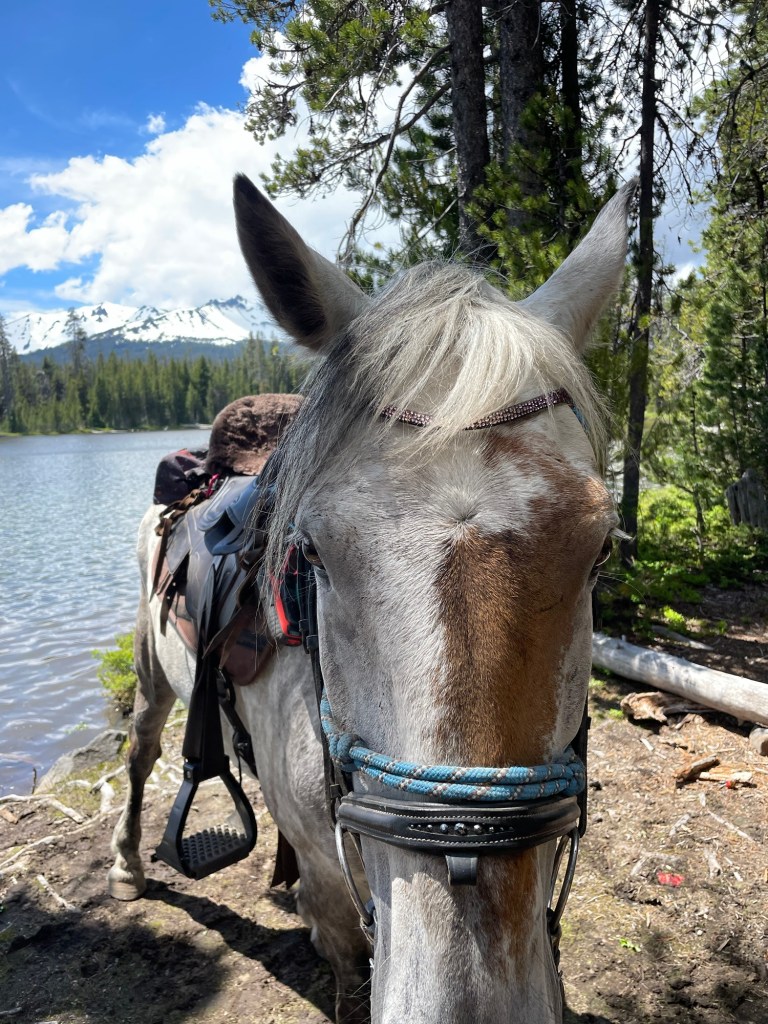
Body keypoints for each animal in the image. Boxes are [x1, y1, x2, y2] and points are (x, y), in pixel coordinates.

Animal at [108, 174, 635, 1024]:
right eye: (313, 554)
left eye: (600, 552)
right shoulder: (338, 907)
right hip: (151, 667)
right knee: (141, 751)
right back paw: (127, 864)